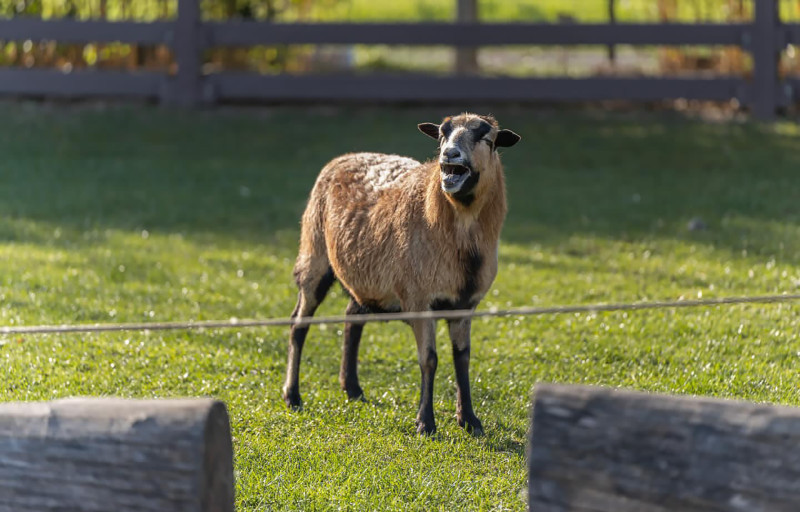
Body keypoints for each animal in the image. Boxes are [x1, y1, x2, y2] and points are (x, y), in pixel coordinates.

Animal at [284, 113, 520, 436]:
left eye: (487, 138)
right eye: (441, 135)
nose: (450, 155)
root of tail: (345, 156)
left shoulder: (465, 305)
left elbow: (462, 358)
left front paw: (470, 420)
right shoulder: (419, 299)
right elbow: (429, 359)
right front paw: (425, 423)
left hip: (364, 278)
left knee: (352, 317)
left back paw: (352, 388)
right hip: (314, 253)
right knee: (299, 323)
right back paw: (292, 396)